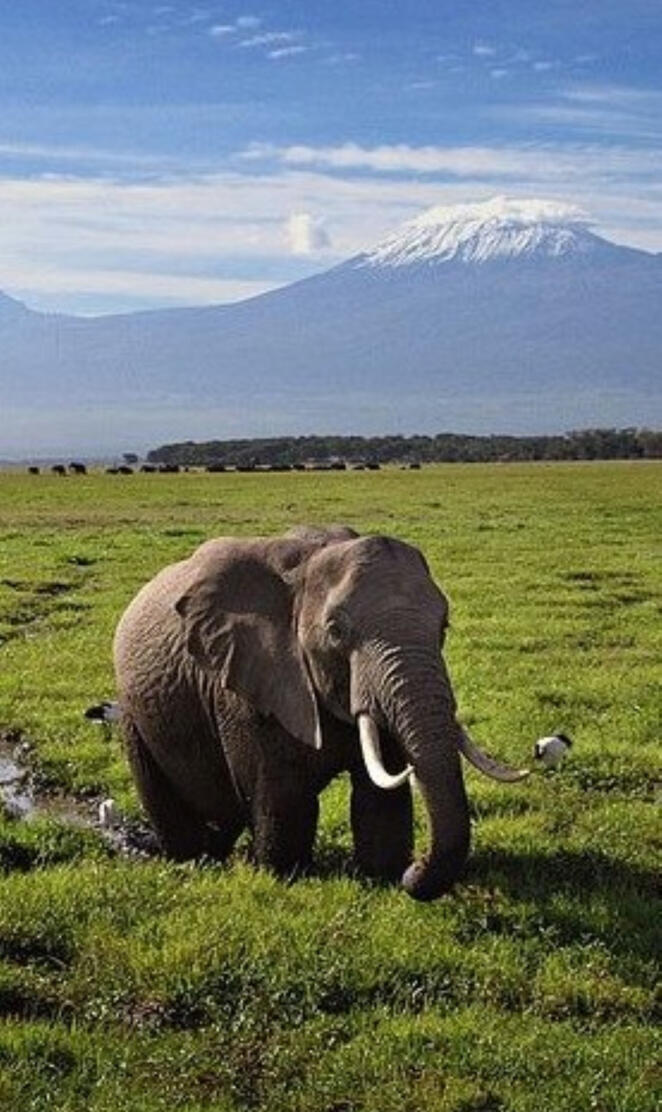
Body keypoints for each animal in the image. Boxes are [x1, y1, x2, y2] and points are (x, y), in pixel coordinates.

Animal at [113, 525, 528, 900]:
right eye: (336, 631)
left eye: (444, 626)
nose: (416, 867)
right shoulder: (250, 682)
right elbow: (283, 795)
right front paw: (286, 877)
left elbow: (378, 798)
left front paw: (385, 875)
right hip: (133, 711)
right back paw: (194, 860)